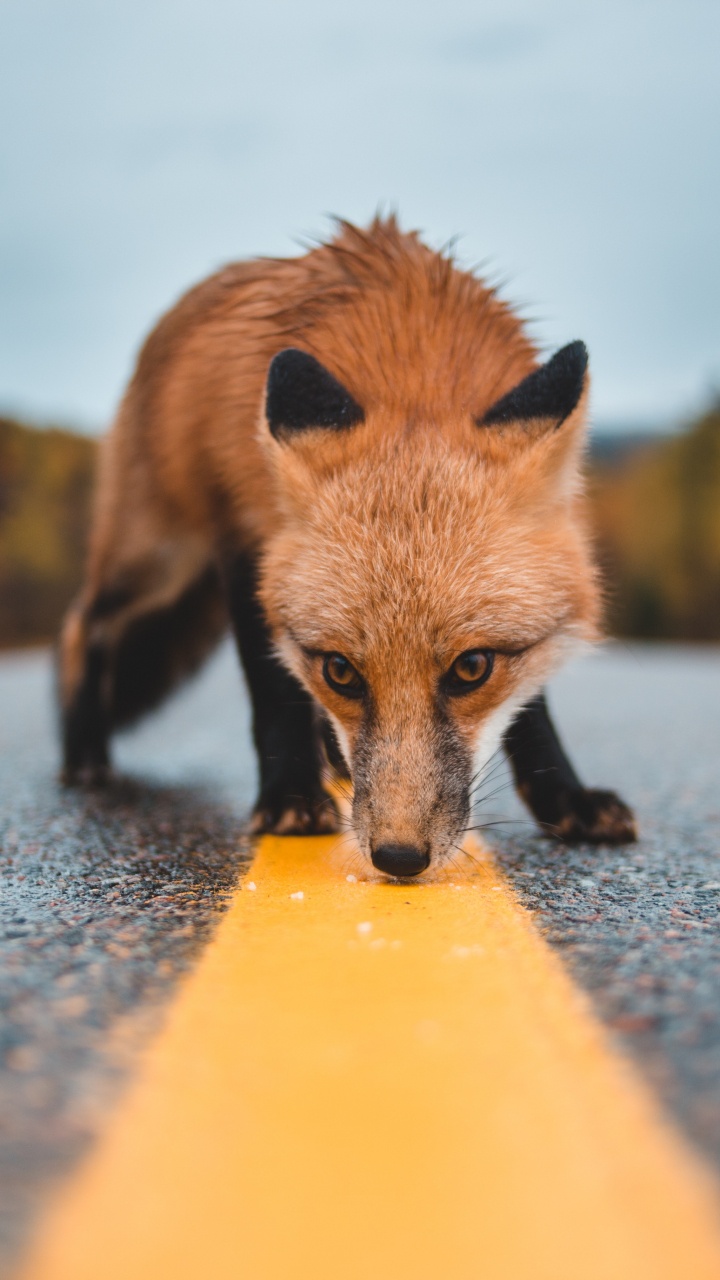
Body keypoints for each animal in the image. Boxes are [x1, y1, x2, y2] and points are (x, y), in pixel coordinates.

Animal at [57, 220, 632, 880]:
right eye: (341, 671)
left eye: (472, 668)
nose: (399, 857)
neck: (413, 365)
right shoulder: (245, 542)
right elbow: (273, 688)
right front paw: (288, 796)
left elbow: (532, 711)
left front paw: (565, 798)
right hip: (159, 557)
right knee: (83, 623)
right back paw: (83, 752)